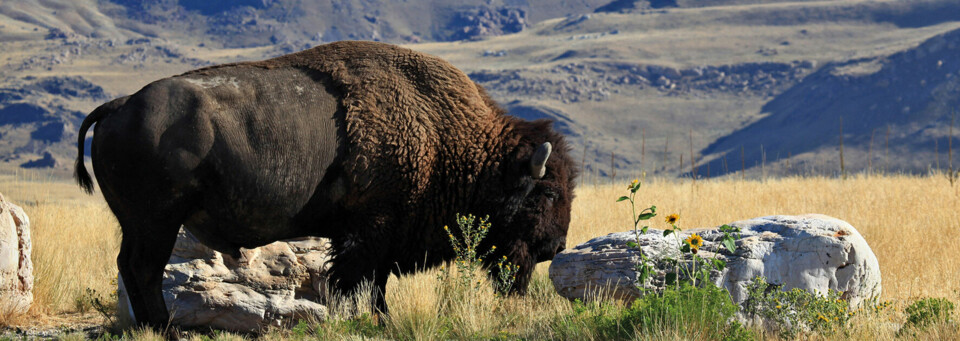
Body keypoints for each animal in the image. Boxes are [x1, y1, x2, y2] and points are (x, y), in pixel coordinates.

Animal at [75, 39, 572, 326]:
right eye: (546, 192)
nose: (556, 246)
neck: (445, 135)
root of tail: (119, 105)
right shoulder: (369, 232)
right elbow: (359, 283)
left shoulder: (376, 237)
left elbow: (374, 286)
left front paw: (380, 322)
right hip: (156, 223)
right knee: (144, 270)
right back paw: (165, 330)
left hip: (140, 225)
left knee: (132, 269)